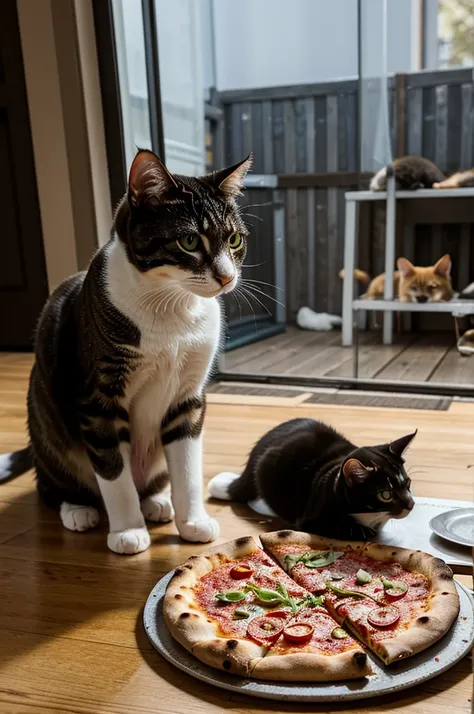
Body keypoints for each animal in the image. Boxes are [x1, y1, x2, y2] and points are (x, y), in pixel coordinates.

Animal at [0, 149, 252, 552]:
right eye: (189, 242)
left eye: (233, 239)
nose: (227, 277)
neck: (171, 310)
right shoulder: (97, 399)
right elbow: (113, 472)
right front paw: (128, 531)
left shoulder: (189, 397)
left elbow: (187, 468)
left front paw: (193, 522)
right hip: (46, 422)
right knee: (54, 485)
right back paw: (78, 509)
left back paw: (158, 502)